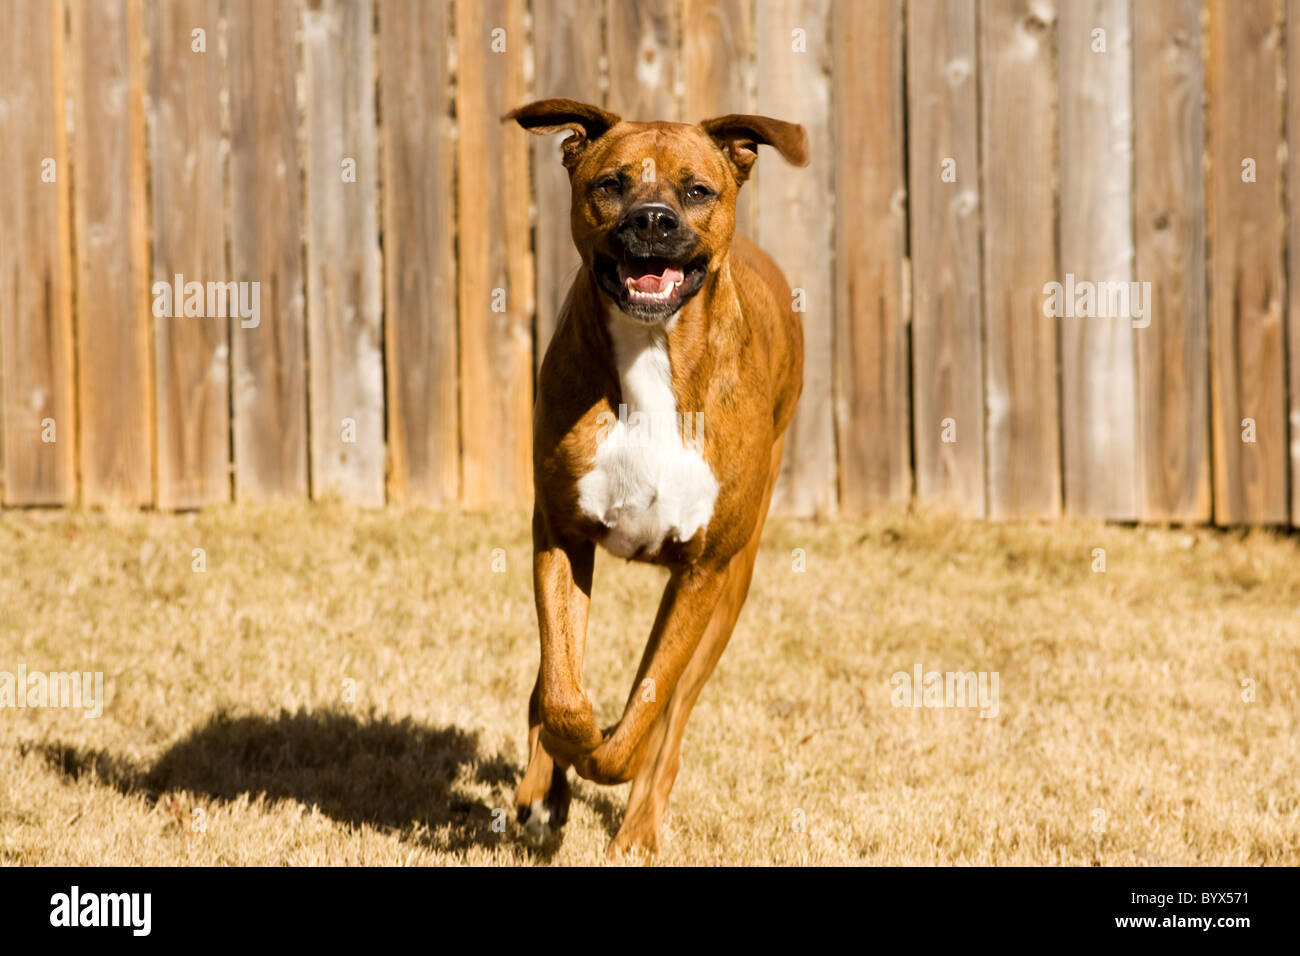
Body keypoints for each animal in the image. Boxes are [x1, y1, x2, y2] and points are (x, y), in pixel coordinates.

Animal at [509, 98, 806, 858]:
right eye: (610, 184)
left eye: (696, 190)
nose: (652, 220)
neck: (651, 350)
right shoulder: (560, 536)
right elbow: (561, 690)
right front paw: (557, 766)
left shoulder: (701, 575)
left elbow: (646, 710)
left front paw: (606, 755)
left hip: (730, 591)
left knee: (670, 718)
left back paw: (636, 828)